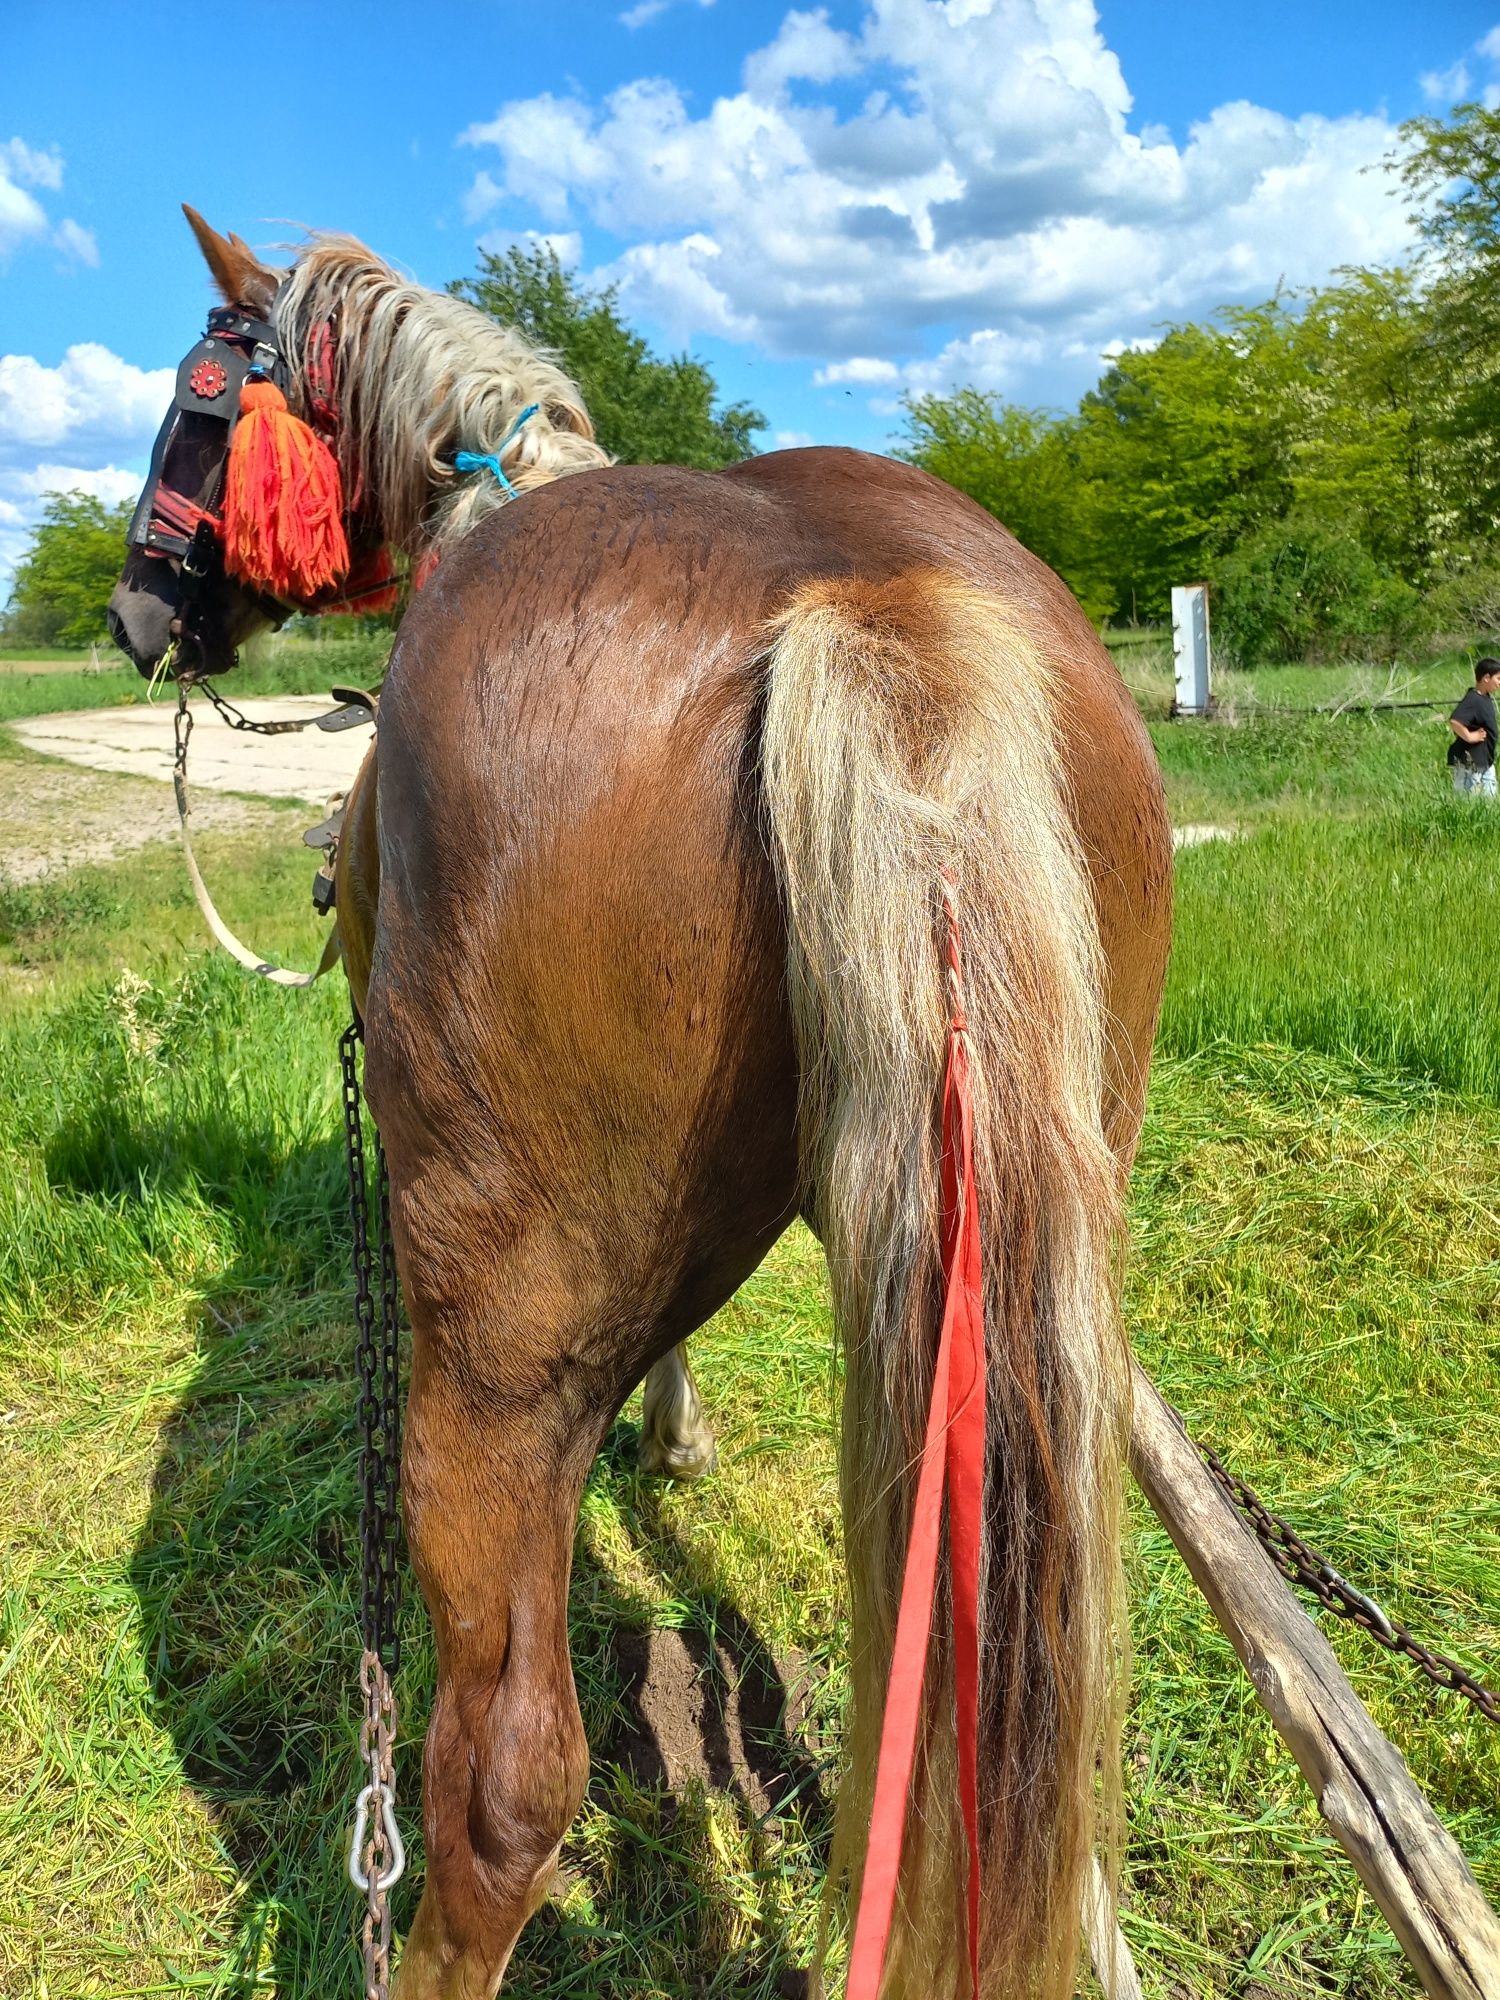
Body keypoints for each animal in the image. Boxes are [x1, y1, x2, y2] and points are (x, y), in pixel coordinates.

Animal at [111, 211, 1184, 1992]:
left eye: (200, 398)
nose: (137, 612)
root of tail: (865, 601)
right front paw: (677, 1435)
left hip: (498, 1337)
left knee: (502, 1782)